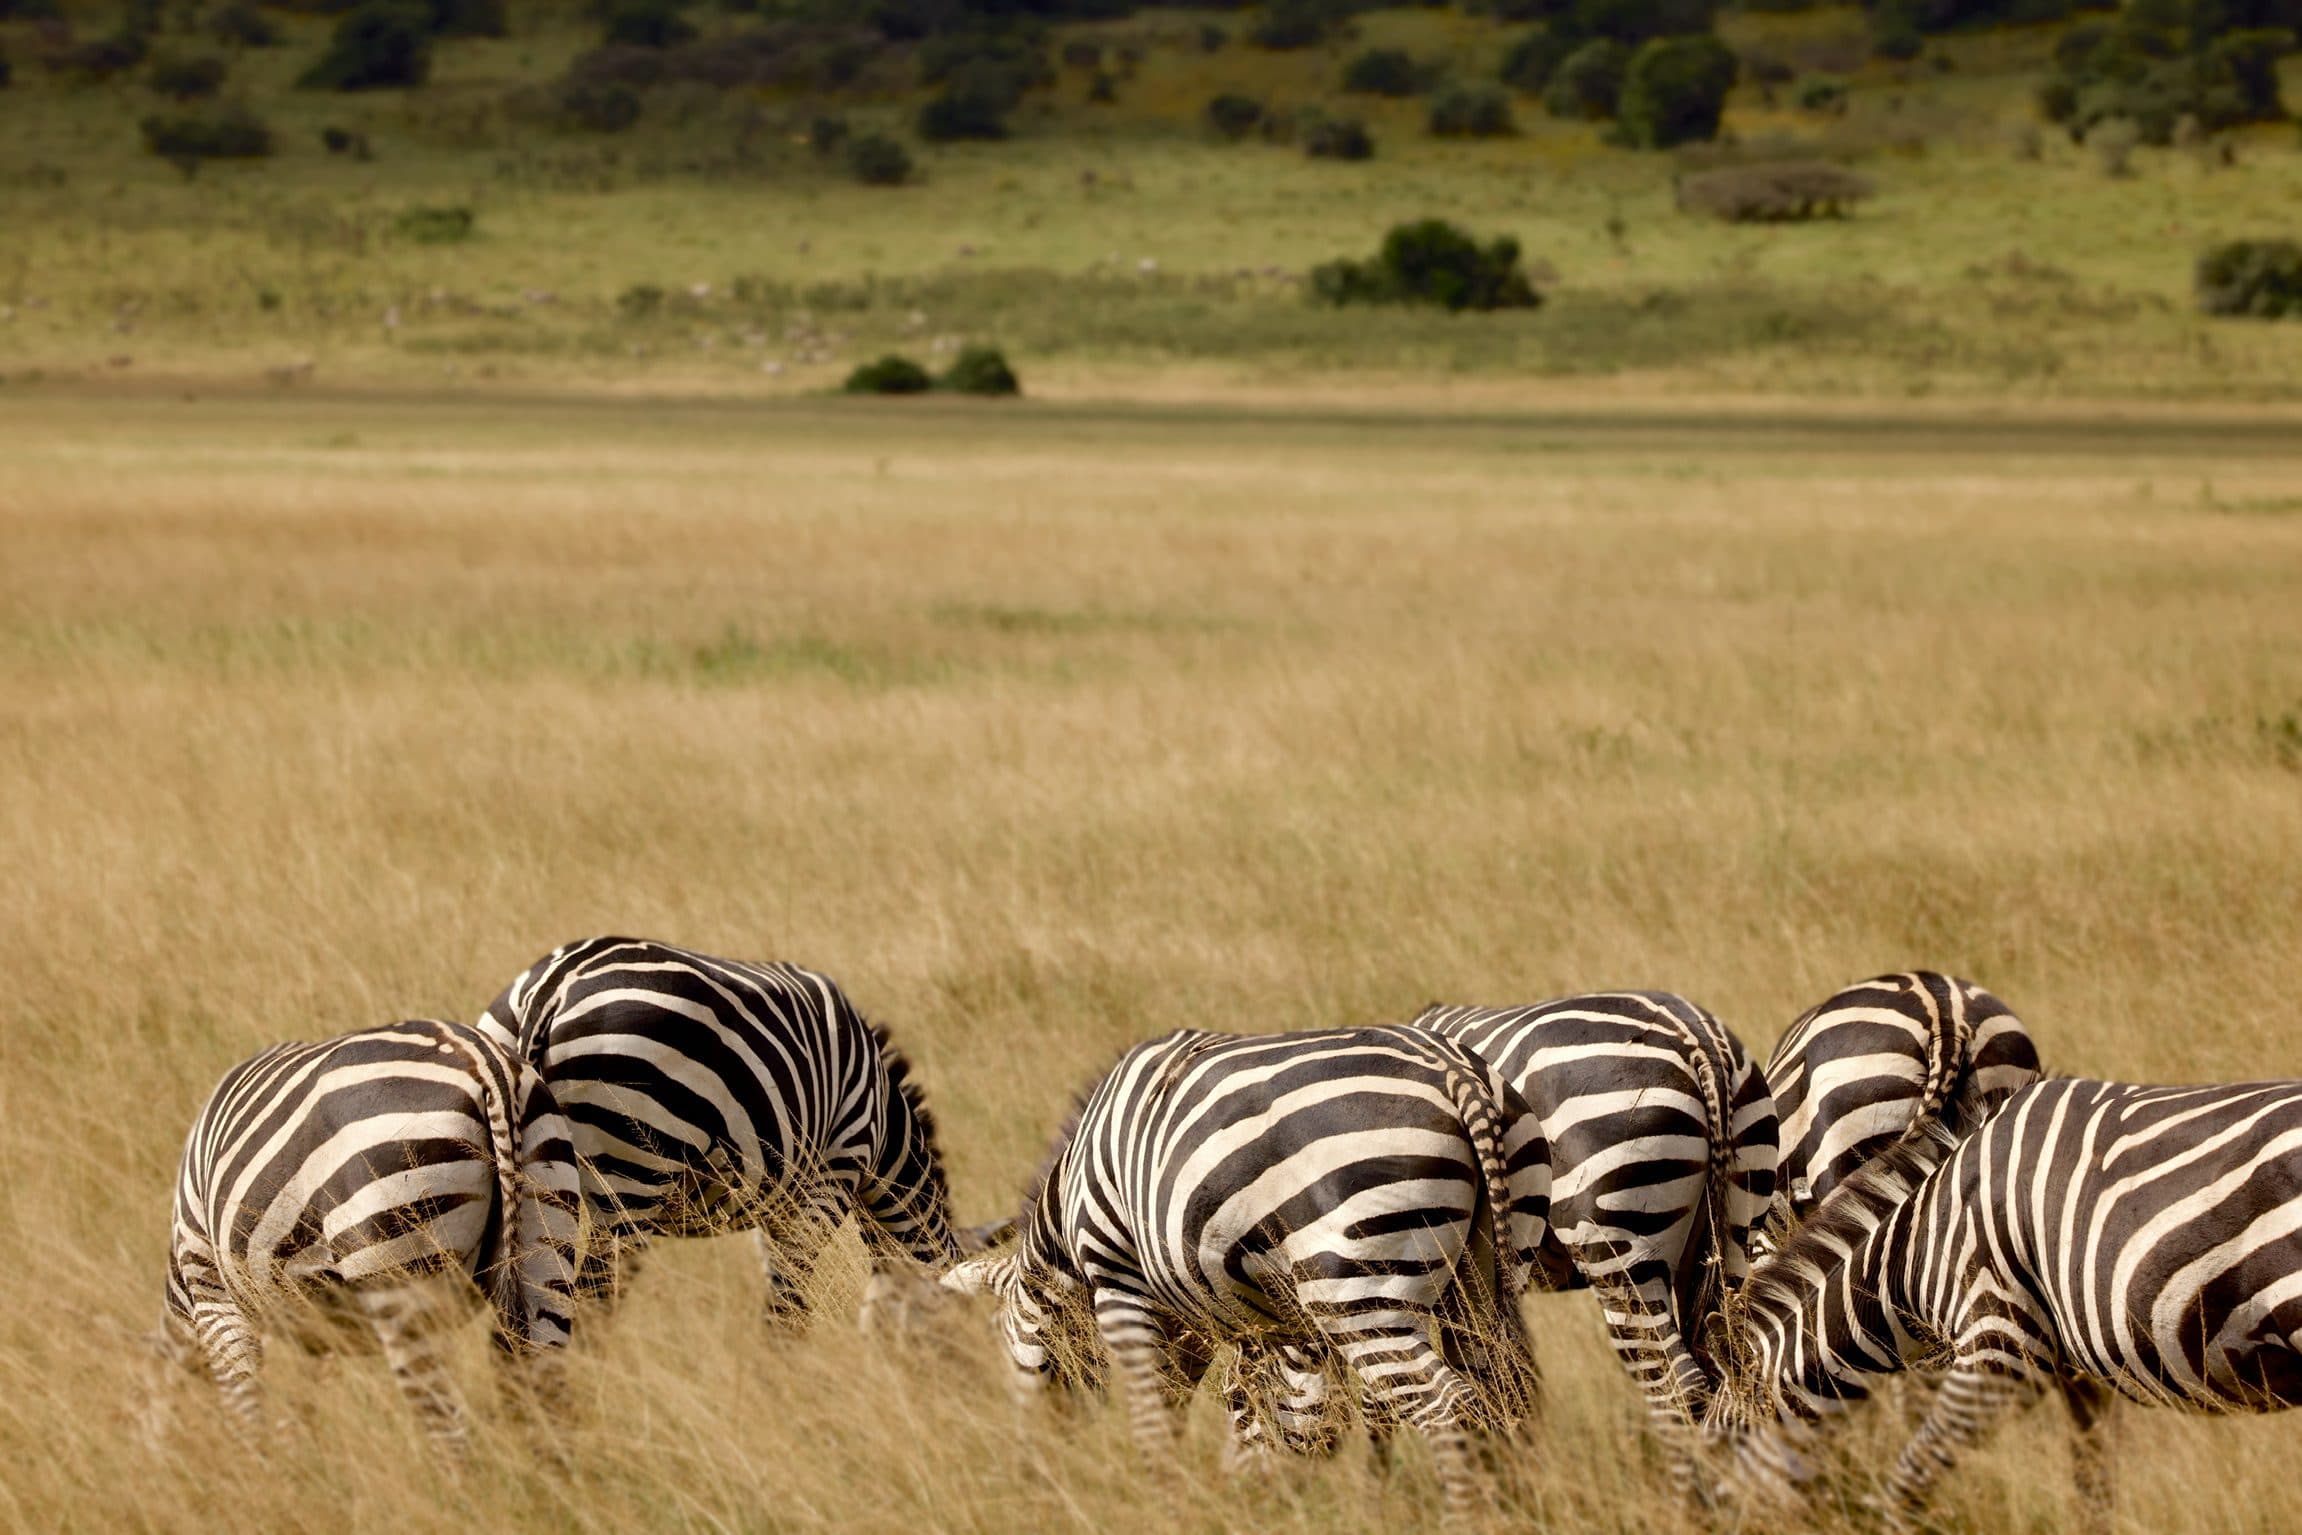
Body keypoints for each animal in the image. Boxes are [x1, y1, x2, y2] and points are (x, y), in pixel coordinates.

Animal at [154, 1018, 581, 1453]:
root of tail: (487, 1064)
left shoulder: (215, 1295)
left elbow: (247, 1414)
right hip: (545, 1239)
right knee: (546, 1400)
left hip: (401, 1274)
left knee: (447, 1434)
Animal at [475, 936, 956, 1332]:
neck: (885, 1122)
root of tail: (553, 988)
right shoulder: (832, 1174)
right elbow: (789, 1302)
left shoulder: (779, 1203)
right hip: (633, 1169)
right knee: (595, 1298)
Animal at [941, 1025, 1551, 1526]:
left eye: (1007, 1344)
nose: (1036, 1474)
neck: (1068, 1207)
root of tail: (1456, 1073)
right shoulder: (1248, 1319)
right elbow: (1272, 1412)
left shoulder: (1121, 1283)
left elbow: (1156, 1416)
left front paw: (1167, 1504)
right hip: (1482, 1276)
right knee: (1504, 1396)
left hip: (1360, 1293)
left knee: (1448, 1409)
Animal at [1410, 992, 1777, 1486]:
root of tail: (1697, 1038)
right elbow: (1509, 1381)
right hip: (1735, 1226)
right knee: (1730, 1363)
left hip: (1619, 1243)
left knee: (1676, 1385)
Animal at [1708, 1077, 2302, 1535]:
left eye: (1716, 1448)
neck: (1912, 1251)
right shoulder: (2078, 1376)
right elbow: (2092, 1492)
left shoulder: (1999, 1347)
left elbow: (1907, 1483)